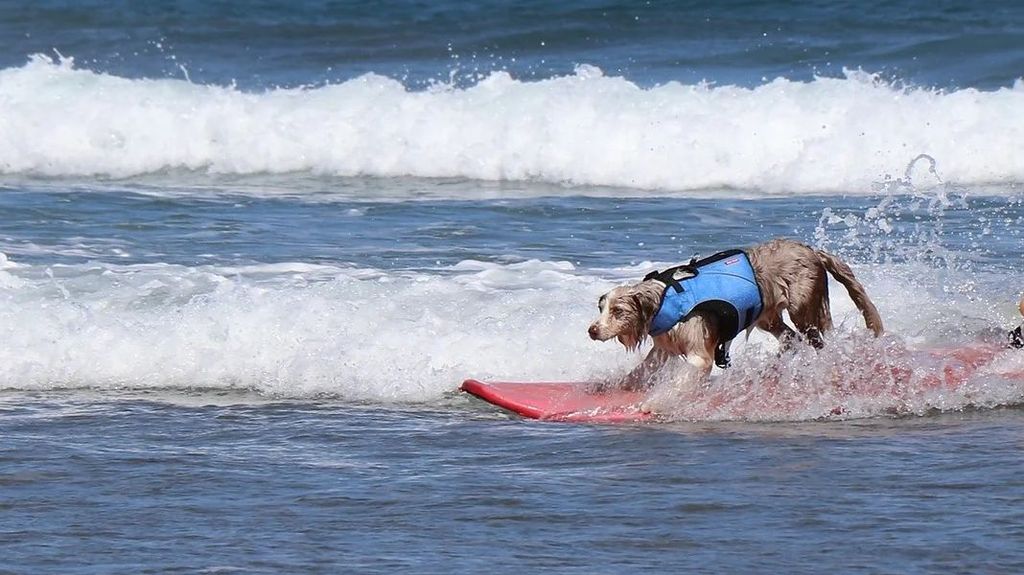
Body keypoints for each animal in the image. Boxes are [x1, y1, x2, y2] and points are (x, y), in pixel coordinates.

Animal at [589, 237, 884, 388]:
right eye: (601, 308)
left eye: (618, 311)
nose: (592, 331)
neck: (664, 300)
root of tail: (813, 252)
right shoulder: (663, 347)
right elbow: (641, 369)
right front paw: (617, 384)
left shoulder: (699, 353)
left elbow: (689, 375)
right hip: (768, 317)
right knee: (790, 338)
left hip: (804, 309)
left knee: (816, 340)